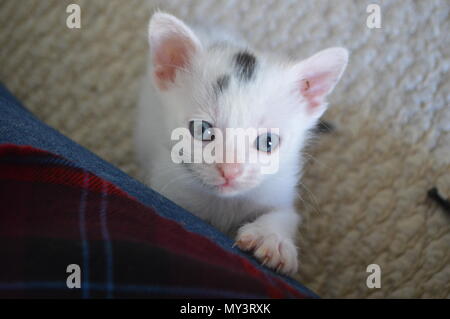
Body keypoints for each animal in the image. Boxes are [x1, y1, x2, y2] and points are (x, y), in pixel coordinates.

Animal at [135, 11, 350, 276]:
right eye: (202, 129)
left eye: (268, 142)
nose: (230, 171)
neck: (224, 203)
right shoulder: (167, 185)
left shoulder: (278, 188)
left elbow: (287, 215)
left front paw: (272, 239)